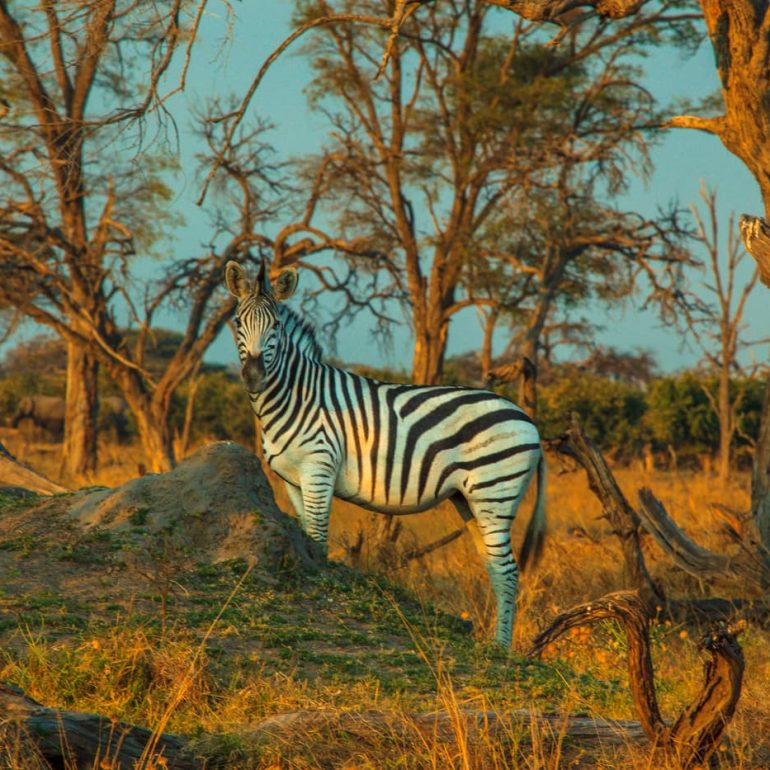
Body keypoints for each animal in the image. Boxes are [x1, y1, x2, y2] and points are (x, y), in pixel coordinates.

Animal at [224, 260, 546, 647]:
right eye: (238, 322)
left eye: (275, 326)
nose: (254, 377)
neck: (295, 395)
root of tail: (527, 419)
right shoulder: (292, 480)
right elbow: (305, 535)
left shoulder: (319, 469)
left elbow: (318, 536)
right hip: (471, 500)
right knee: (496, 568)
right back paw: (494, 643)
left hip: (496, 491)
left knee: (509, 570)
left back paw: (502, 649)